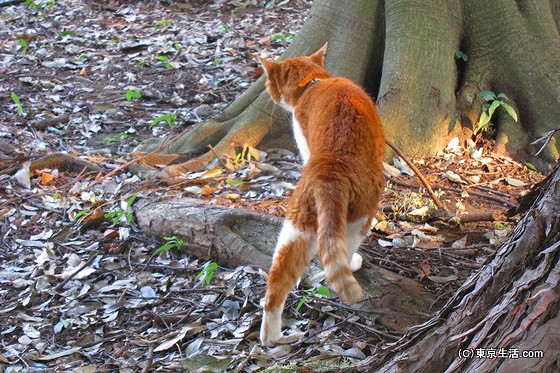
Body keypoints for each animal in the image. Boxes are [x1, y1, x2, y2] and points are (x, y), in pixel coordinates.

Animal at [258, 43, 384, 346]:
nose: (266, 93)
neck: (313, 83)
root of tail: (331, 171)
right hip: (360, 216)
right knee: (341, 255)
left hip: (296, 227)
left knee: (275, 286)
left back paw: (273, 339)